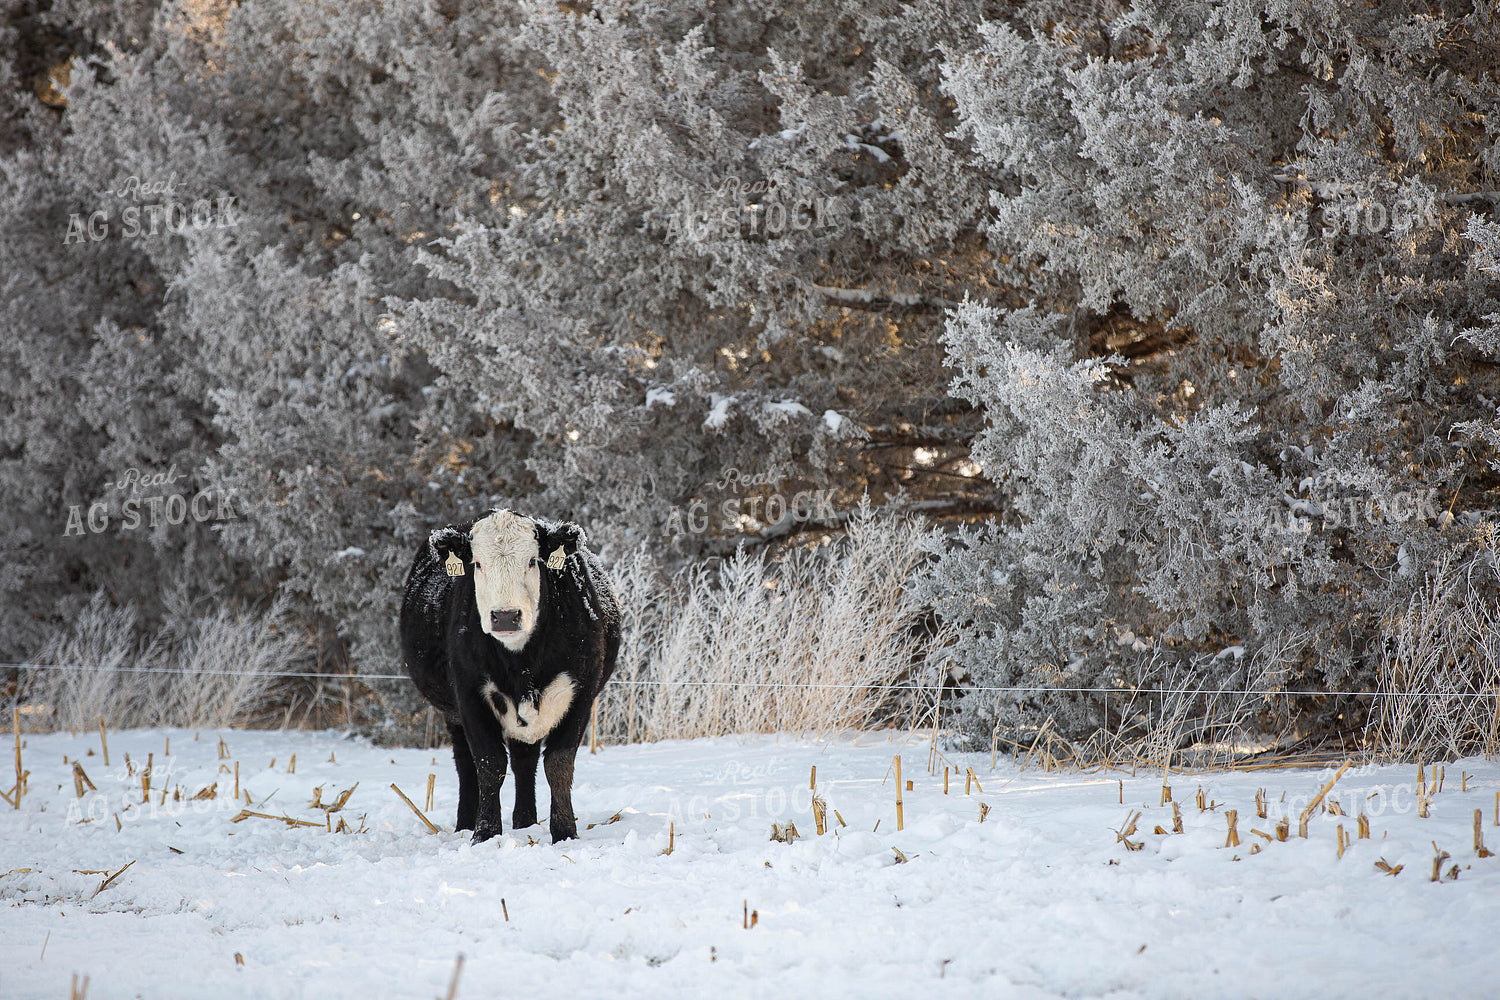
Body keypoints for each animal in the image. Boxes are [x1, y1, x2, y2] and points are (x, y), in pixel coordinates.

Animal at [400, 508, 620, 844]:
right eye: (477, 563)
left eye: (532, 561)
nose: (505, 616)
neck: (522, 664)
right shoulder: (469, 693)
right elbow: (489, 763)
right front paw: (485, 834)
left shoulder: (581, 693)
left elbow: (559, 763)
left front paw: (564, 832)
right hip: (452, 714)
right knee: (466, 764)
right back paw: (466, 823)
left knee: (524, 760)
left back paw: (525, 822)